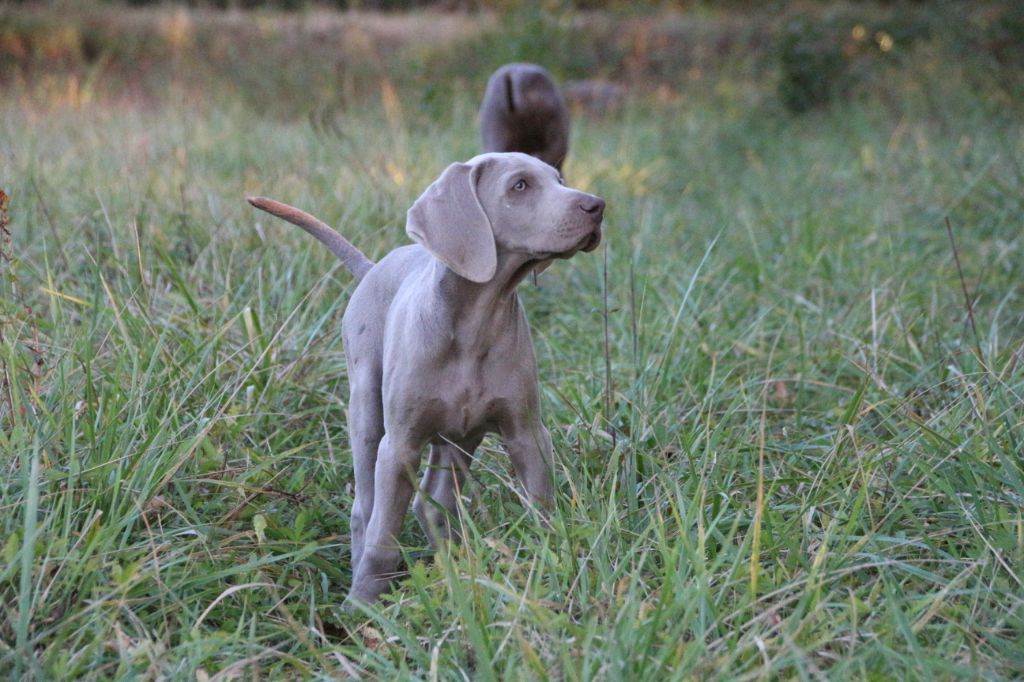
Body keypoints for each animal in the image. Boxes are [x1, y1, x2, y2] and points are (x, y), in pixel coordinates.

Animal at [249, 152, 604, 604]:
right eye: (520, 186)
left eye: (558, 179)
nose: (597, 206)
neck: (475, 323)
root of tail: (373, 267)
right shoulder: (398, 447)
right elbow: (383, 536)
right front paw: (363, 605)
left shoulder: (527, 433)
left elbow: (541, 506)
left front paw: (550, 561)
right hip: (367, 410)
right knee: (365, 508)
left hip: (460, 436)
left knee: (433, 503)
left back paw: (453, 567)